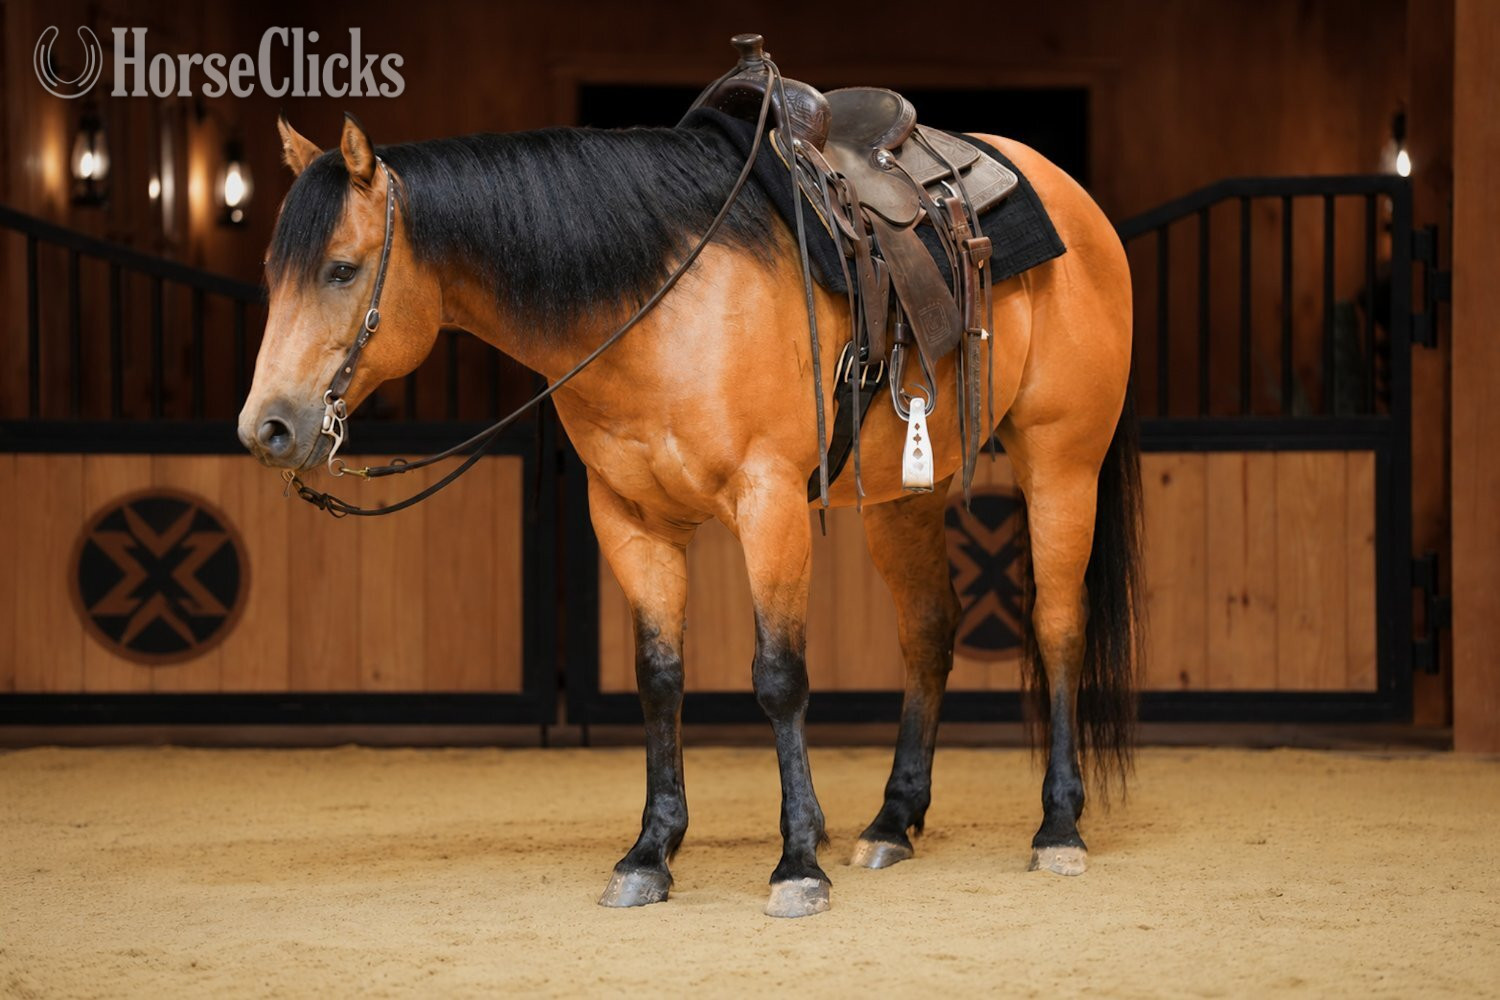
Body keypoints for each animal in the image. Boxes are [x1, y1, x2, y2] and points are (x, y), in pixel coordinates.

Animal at [238, 105, 1141, 919]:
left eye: (342, 269)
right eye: (274, 274)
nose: (266, 428)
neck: (661, 305)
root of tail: (1076, 204)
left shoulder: (768, 503)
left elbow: (779, 679)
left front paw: (797, 864)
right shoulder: (629, 519)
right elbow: (659, 680)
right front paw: (650, 853)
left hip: (1061, 464)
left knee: (1058, 626)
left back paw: (1058, 828)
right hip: (900, 499)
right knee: (928, 632)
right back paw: (892, 821)